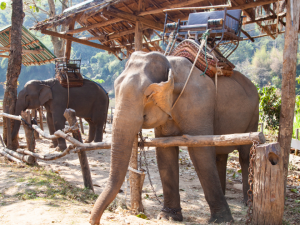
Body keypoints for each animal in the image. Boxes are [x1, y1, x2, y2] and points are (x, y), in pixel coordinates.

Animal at [88, 51, 258, 225]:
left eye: (148, 95)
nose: (93, 221)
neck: (170, 65)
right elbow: (165, 151)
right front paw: (168, 217)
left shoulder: (198, 103)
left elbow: (200, 151)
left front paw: (221, 220)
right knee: (220, 155)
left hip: (253, 116)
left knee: (245, 155)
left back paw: (247, 201)